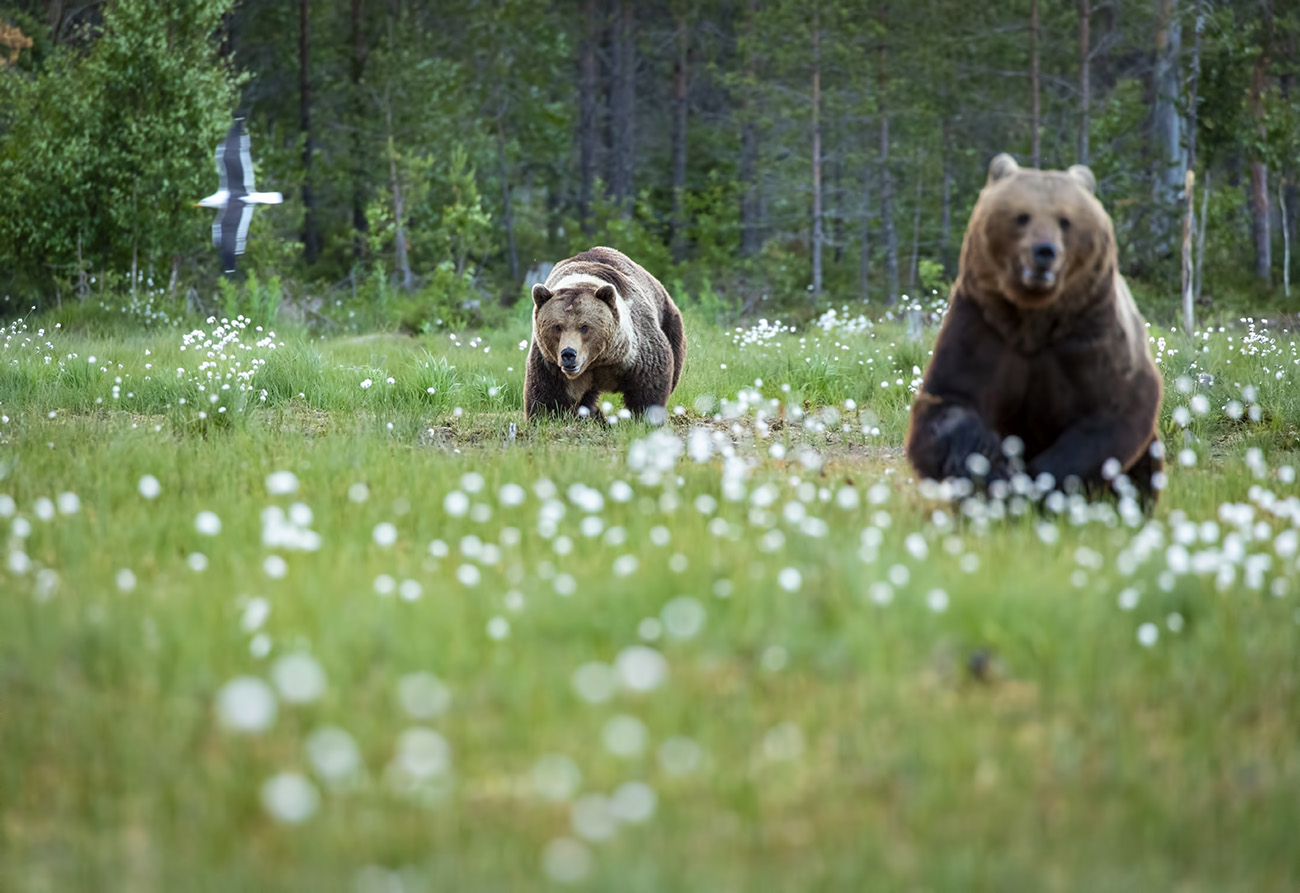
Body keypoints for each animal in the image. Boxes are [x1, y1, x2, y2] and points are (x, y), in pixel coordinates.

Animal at [522, 245, 686, 423]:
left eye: (584, 326)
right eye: (557, 326)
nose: (568, 354)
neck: (597, 361)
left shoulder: (634, 351)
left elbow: (650, 380)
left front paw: (644, 417)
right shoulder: (550, 362)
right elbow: (548, 394)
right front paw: (547, 417)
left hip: (669, 320)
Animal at [904, 155, 1170, 509]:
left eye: (1065, 220)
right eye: (1022, 216)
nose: (1044, 251)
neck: (1034, 321)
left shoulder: (1091, 337)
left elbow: (1111, 412)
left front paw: (1038, 482)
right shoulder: (982, 328)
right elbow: (950, 403)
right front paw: (991, 469)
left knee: (1143, 465)